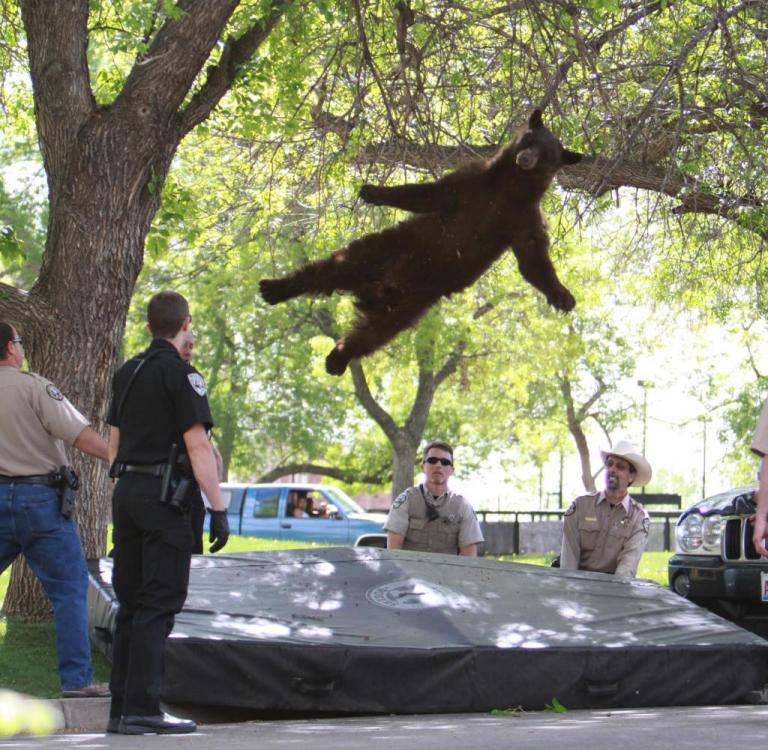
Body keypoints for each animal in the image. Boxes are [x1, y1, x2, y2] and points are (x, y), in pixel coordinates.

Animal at [259, 109, 582, 376]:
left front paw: (562, 296)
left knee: (372, 334)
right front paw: (372, 191)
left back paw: (337, 358)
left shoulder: (523, 217)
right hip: (383, 250)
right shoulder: (472, 183)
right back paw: (276, 288)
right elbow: (428, 194)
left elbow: (532, 258)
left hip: (410, 305)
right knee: (329, 269)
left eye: (546, 153)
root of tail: (376, 290)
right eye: (530, 139)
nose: (525, 158)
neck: (510, 187)